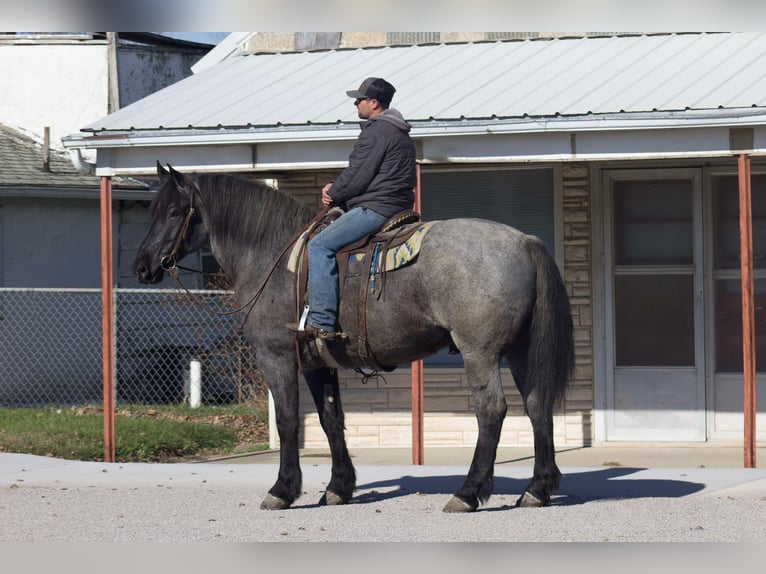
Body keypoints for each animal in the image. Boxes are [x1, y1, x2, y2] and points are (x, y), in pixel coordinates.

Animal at [133, 162, 574, 512]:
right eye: (151, 210)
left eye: (174, 211)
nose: (142, 267)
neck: (272, 256)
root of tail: (524, 241)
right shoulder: (316, 363)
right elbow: (331, 420)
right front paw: (338, 488)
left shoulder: (276, 356)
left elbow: (288, 420)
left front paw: (282, 490)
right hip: (520, 352)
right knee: (538, 407)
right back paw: (536, 489)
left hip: (479, 352)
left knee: (492, 411)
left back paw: (467, 493)